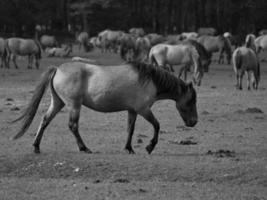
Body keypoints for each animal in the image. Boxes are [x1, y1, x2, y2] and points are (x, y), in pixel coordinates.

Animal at [11, 61, 198, 155]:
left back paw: (36, 147)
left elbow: (130, 129)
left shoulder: (132, 111)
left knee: (45, 121)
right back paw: (84, 148)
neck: (150, 80)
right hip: (74, 106)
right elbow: (157, 125)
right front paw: (150, 147)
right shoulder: (143, 110)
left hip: (58, 103)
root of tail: (58, 69)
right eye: (191, 101)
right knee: (73, 126)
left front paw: (129, 148)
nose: (194, 122)